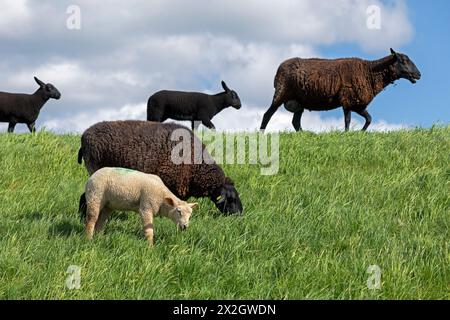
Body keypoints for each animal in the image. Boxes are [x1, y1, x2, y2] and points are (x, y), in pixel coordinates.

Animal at [260, 48, 422, 131]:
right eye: (403, 61)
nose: (419, 74)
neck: (369, 72)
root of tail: (279, 68)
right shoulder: (347, 100)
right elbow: (348, 120)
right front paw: (347, 134)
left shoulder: (358, 104)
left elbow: (369, 119)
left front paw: (361, 133)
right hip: (281, 93)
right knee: (267, 115)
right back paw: (261, 134)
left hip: (299, 102)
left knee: (295, 122)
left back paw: (305, 135)